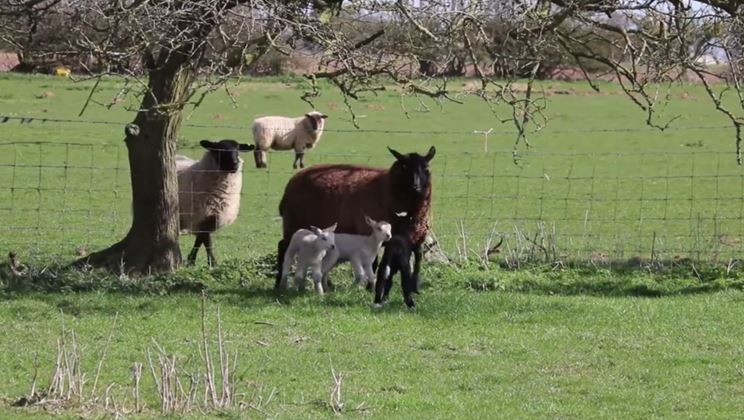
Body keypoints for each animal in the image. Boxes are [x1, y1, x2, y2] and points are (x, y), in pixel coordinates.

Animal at [179, 139, 254, 268]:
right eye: (219, 150)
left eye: (238, 150)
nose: (235, 164)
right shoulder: (201, 215)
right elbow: (207, 241)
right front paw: (209, 263)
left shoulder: (211, 217)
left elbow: (201, 240)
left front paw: (194, 261)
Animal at [274, 147, 436, 292]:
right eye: (404, 167)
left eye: (426, 168)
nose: (416, 187)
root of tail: (293, 179)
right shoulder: (368, 233)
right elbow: (374, 264)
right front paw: (370, 288)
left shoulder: (417, 238)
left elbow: (416, 263)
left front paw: (414, 288)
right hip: (292, 222)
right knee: (283, 246)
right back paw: (279, 283)